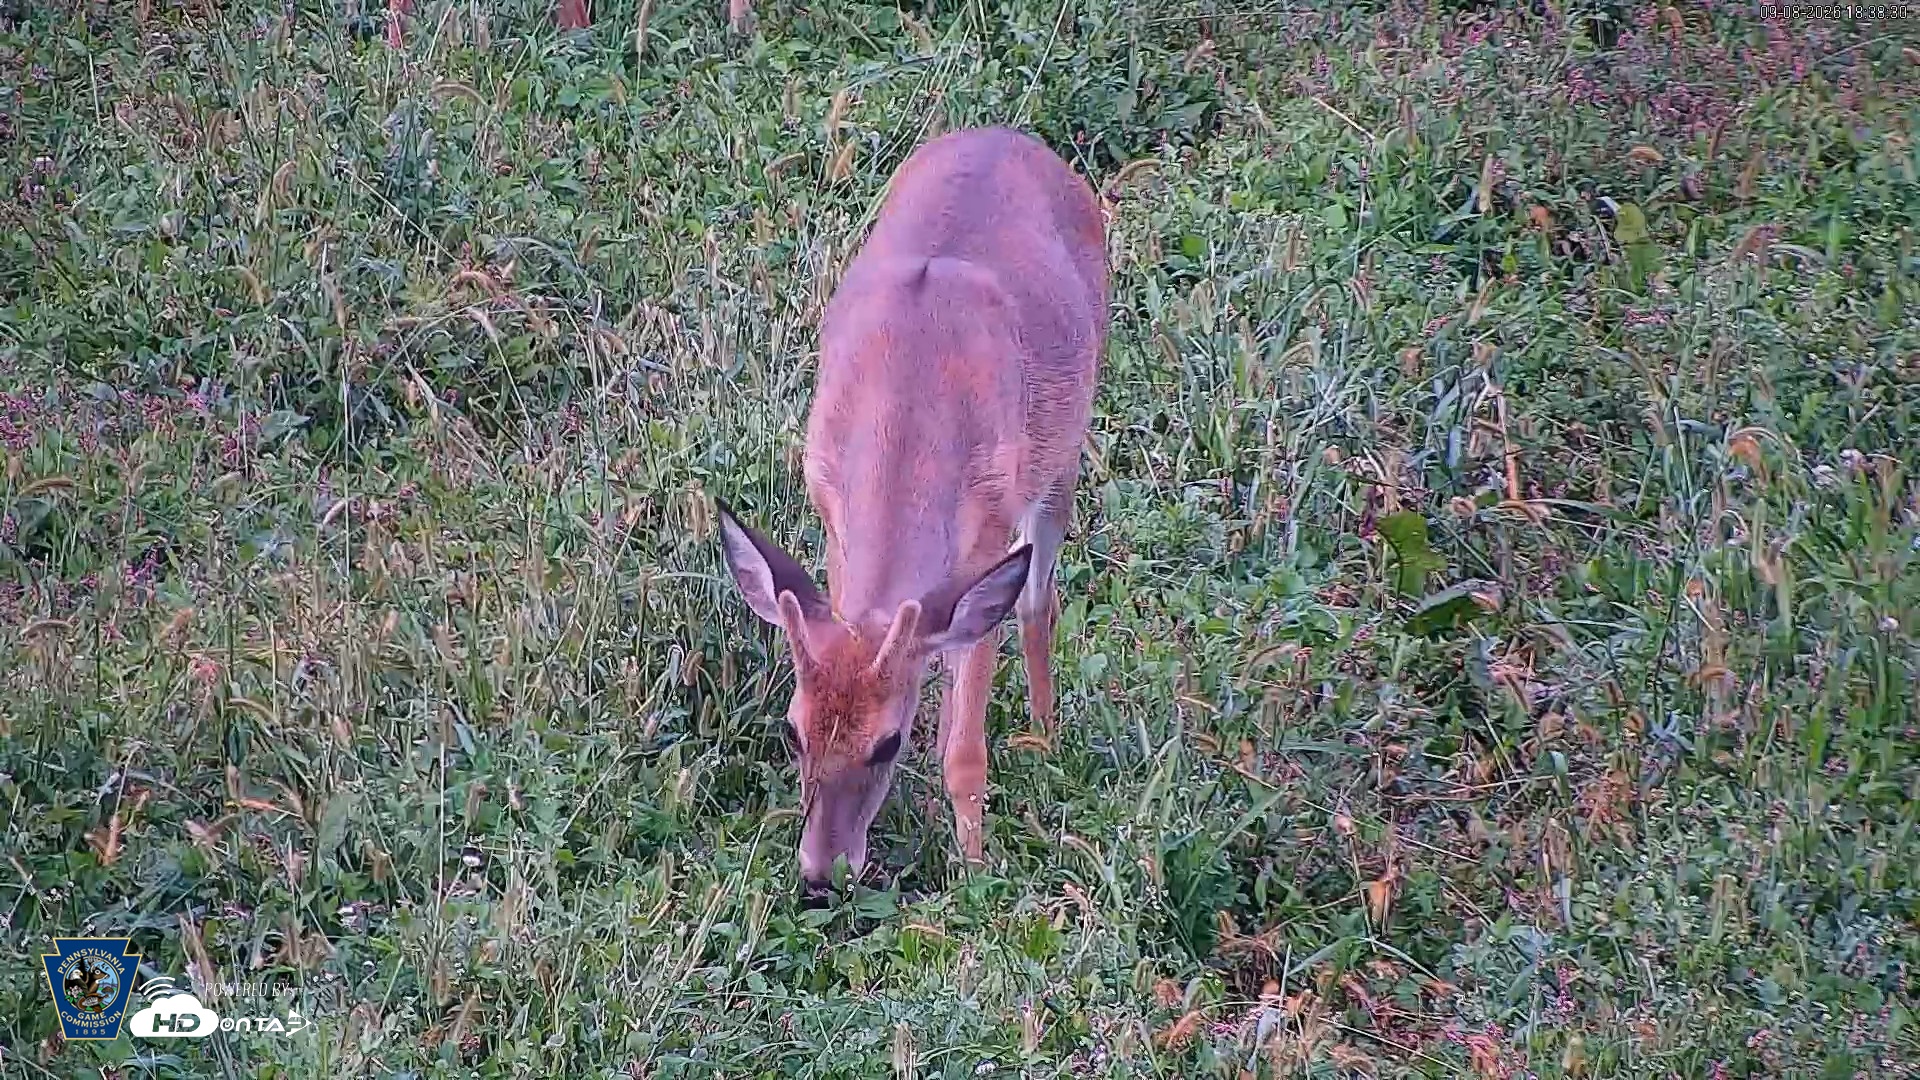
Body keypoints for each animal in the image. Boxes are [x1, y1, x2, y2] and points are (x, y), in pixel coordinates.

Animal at [717, 127, 1108, 899]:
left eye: (888, 743)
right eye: (792, 730)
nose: (821, 874)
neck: (908, 416)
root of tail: (1010, 137)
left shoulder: (989, 542)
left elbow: (963, 744)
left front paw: (976, 868)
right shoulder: (831, 514)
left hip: (1066, 452)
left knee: (1040, 598)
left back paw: (1045, 737)